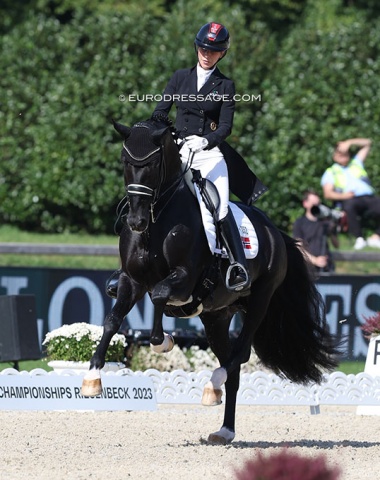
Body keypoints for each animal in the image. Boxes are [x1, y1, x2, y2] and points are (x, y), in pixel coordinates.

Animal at [81, 116, 340, 442]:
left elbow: (159, 296)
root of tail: (274, 232)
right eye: (126, 162)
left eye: (152, 164)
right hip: (216, 316)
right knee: (233, 367)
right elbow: (112, 321)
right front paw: (92, 378)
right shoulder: (131, 281)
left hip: (259, 301)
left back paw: (212, 386)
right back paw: (224, 428)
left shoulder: (184, 278)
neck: (158, 220)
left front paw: (163, 342)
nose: (136, 222)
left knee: (240, 353)